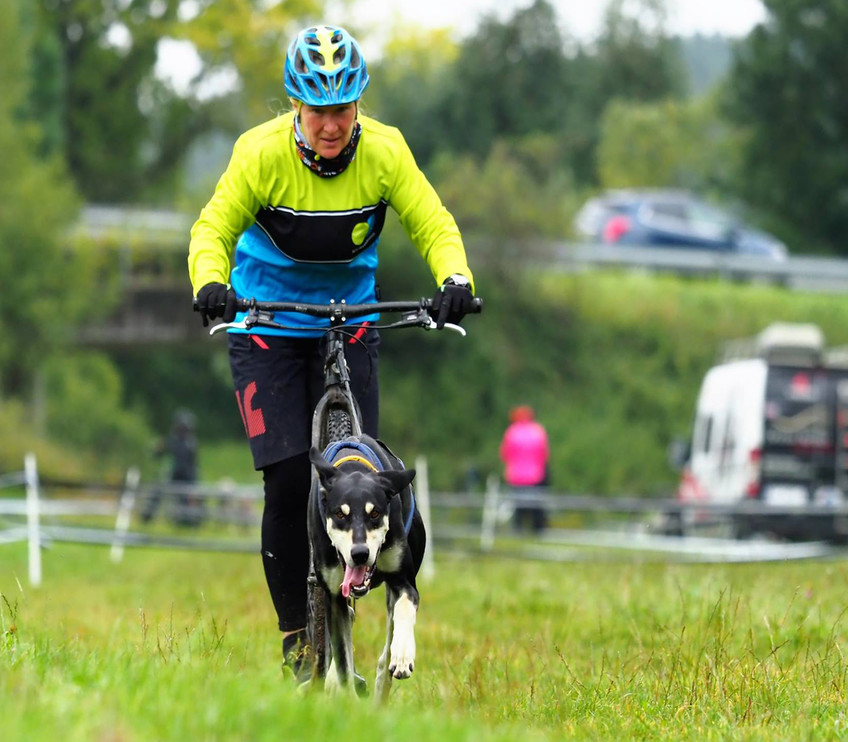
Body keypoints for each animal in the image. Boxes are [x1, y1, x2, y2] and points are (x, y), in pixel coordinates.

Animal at [308, 434, 424, 700]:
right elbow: (343, 661)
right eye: (340, 514)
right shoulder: (333, 596)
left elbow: (405, 607)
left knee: (387, 645)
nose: (360, 554)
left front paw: (403, 654)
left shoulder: (404, 582)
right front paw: (347, 699)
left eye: (375, 513)